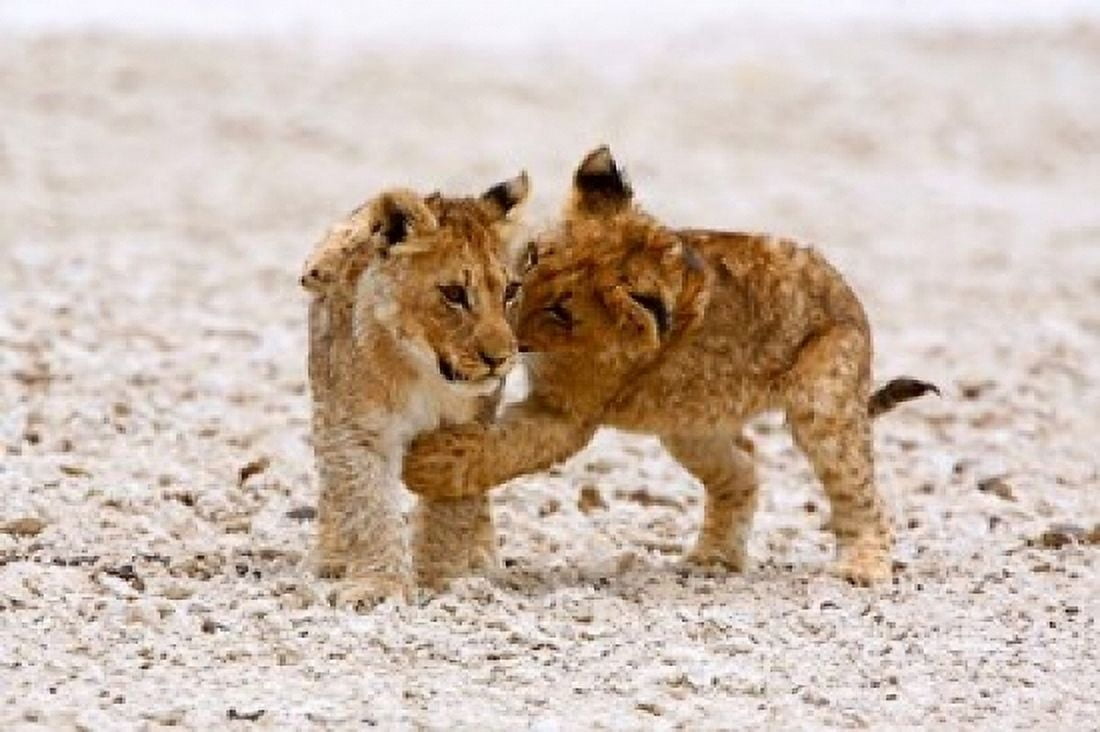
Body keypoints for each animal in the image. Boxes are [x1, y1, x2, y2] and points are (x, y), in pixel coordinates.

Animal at [301, 172, 528, 608]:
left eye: (510, 291)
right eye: (454, 294)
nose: (500, 358)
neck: (423, 370)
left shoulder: (466, 431)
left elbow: (452, 512)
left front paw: (443, 581)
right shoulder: (356, 430)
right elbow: (367, 505)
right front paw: (378, 587)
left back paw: (482, 556)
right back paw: (332, 556)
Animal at [401, 146, 937, 585]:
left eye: (561, 311)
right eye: (532, 257)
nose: (507, 330)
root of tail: (847, 292)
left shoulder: (568, 416)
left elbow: (503, 448)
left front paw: (428, 464)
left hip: (824, 403)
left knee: (858, 489)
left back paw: (863, 567)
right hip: (691, 426)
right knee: (744, 467)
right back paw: (713, 559)